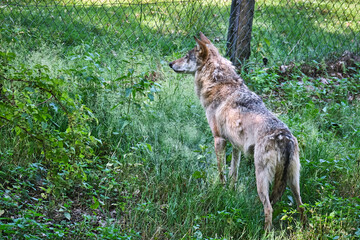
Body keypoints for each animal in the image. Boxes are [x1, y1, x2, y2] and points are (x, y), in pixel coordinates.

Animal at [170, 32, 306, 230]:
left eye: (187, 56)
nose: (170, 63)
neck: (219, 82)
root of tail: (285, 138)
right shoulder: (236, 147)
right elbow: (233, 173)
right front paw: (231, 193)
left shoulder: (218, 139)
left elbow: (221, 172)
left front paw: (220, 190)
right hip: (293, 182)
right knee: (301, 206)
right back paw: (304, 228)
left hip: (261, 180)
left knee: (269, 208)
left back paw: (265, 232)